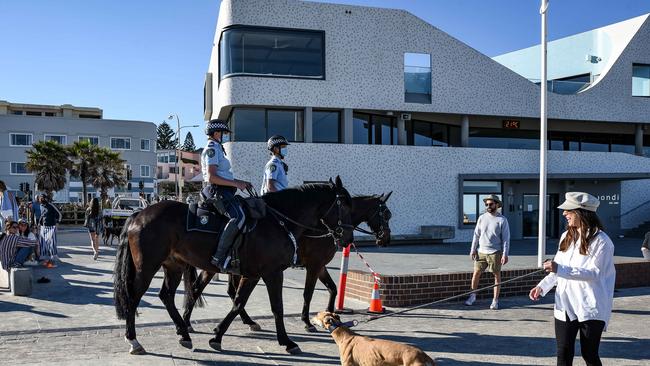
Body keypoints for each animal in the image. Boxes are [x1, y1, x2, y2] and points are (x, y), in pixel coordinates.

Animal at [113, 177, 352, 354]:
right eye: (346, 205)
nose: (347, 239)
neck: (278, 222)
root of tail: (139, 214)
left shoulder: (253, 274)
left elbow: (238, 302)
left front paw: (217, 336)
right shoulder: (273, 273)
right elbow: (277, 307)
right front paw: (287, 342)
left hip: (173, 266)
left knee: (167, 296)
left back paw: (184, 333)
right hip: (147, 267)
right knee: (134, 298)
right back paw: (134, 340)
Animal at [178, 193, 390, 334]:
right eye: (387, 214)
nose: (385, 239)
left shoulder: (320, 266)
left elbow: (333, 288)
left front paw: (331, 316)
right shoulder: (314, 265)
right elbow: (308, 293)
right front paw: (307, 322)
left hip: (221, 268)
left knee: (204, 289)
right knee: (212, 290)